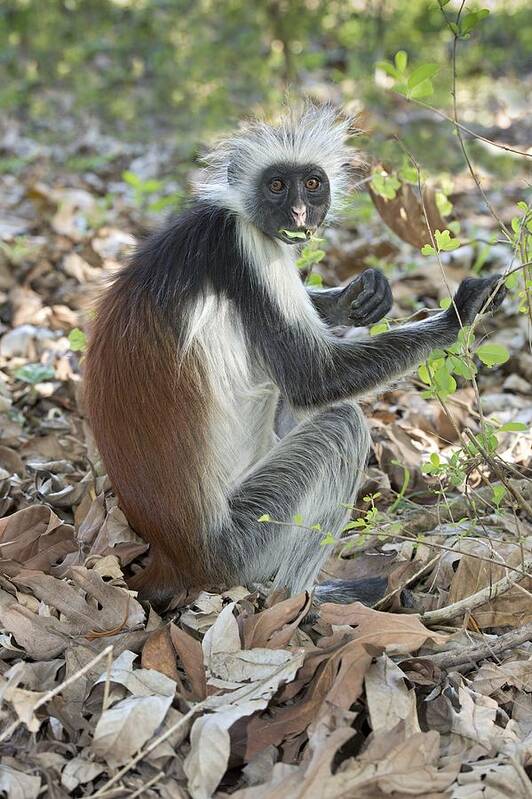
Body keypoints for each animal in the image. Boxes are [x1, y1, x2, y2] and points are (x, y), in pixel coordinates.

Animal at [84, 106, 508, 608]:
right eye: (276, 185)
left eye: (311, 183)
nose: (300, 213)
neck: (232, 215)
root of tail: (174, 556)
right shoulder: (246, 250)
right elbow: (313, 380)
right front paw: (458, 314)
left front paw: (358, 297)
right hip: (244, 540)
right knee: (340, 423)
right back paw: (298, 601)